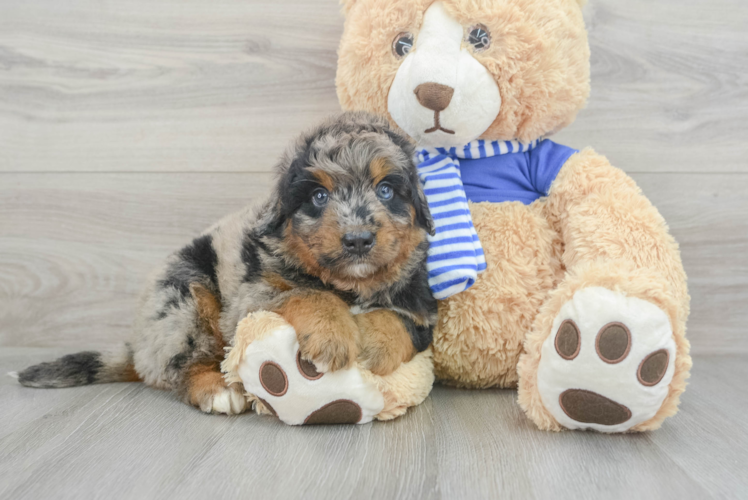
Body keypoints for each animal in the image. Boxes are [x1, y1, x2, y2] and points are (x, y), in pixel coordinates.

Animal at [19, 112, 438, 414]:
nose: (358, 239)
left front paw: (372, 340)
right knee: (183, 365)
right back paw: (217, 391)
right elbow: (306, 294)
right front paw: (333, 333)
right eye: (319, 196)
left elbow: (401, 322)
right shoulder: (251, 298)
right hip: (183, 300)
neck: (349, 284)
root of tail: (138, 347)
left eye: (386, 190)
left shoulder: (422, 306)